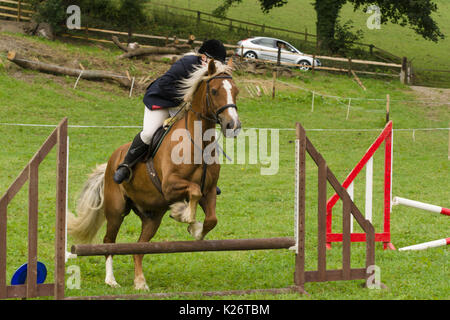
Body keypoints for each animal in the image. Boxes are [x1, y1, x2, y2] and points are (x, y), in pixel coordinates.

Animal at [67, 57, 241, 290]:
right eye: (214, 91)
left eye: (236, 91)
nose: (233, 125)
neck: (199, 142)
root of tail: (111, 161)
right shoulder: (170, 185)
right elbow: (193, 191)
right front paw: (184, 215)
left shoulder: (210, 189)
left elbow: (211, 219)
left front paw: (193, 228)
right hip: (116, 210)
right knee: (109, 242)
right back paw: (111, 280)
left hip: (152, 217)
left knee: (139, 248)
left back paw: (140, 282)